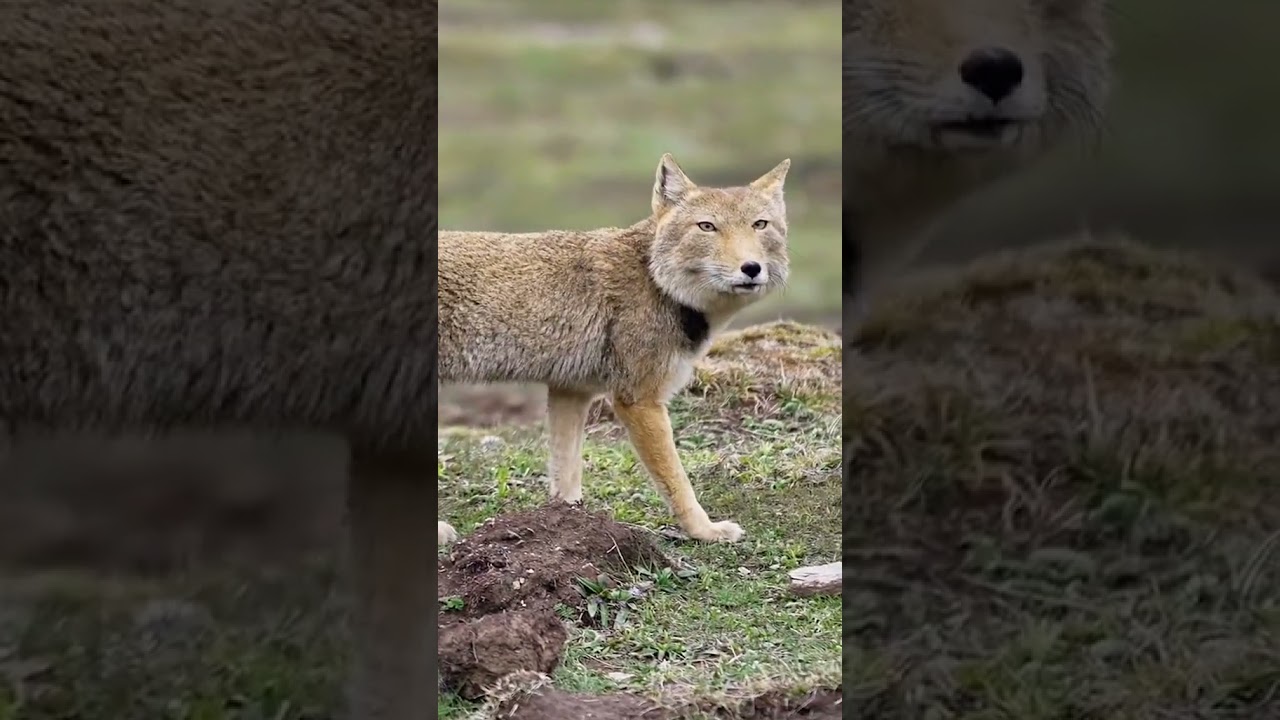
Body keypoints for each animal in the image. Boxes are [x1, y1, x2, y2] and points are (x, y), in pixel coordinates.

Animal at [438, 154, 792, 545]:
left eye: (760, 225)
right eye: (707, 227)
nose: (751, 268)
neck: (654, 279)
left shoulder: (571, 391)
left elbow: (567, 475)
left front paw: (567, 525)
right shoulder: (638, 401)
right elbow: (678, 482)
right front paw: (705, 531)